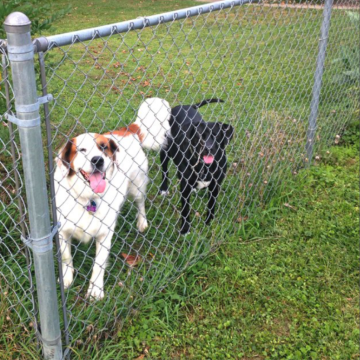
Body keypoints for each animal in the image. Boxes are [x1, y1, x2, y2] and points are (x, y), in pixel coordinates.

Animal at [54, 97, 170, 300]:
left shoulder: (105, 233)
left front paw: (95, 290)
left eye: (103, 147)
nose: (97, 160)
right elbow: (66, 257)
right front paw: (67, 279)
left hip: (137, 187)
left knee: (141, 203)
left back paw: (142, 222)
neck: (87, 197)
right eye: (82, 150)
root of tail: (128, 130)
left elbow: (99, 264)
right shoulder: (63, 230)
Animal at [160, 99, 233, 233]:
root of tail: (185, 106)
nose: (208, 148)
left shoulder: (215, 186)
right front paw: (185, 229)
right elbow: (185, 210)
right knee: (164, 170)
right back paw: (163, 188)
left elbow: (211, 206)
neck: (205, 166)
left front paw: (209, 223)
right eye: (199, 136)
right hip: (165, 149)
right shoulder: (185, 188)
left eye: (216, 135)